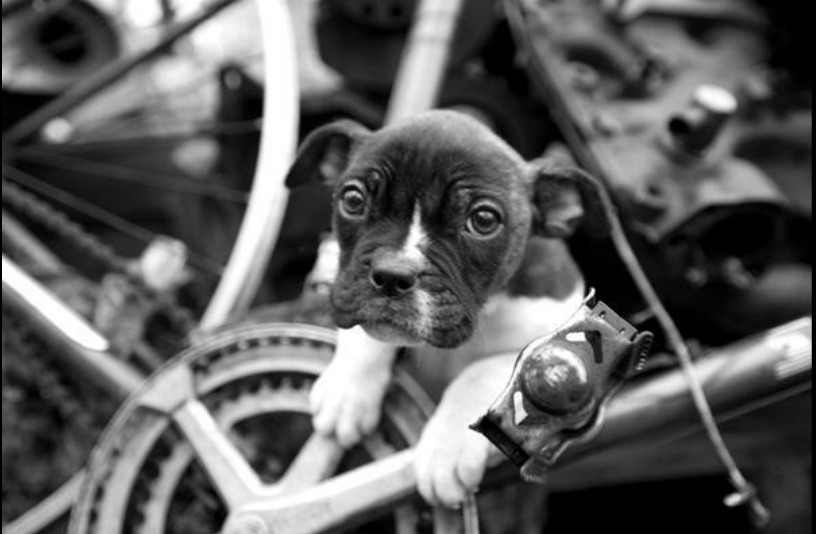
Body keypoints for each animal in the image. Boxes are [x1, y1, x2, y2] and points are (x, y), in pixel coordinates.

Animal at [285, 110, 609, 520]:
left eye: (483, 220)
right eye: (353, 199)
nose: (392, 274)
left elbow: (486, 370)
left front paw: (446, 449)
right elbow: (368, 334)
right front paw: (348, 389)